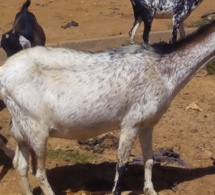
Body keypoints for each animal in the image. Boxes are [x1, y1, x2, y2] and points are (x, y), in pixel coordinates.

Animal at [0, 9, 215, 195]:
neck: (163, 69)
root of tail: (4, 74)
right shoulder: (130, 123)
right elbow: (121, 165)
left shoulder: (147, 124)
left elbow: (149, 159)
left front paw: (150, 190)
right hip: (37, 128)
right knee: (39, 172)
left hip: (21, 126)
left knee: (20, 164)